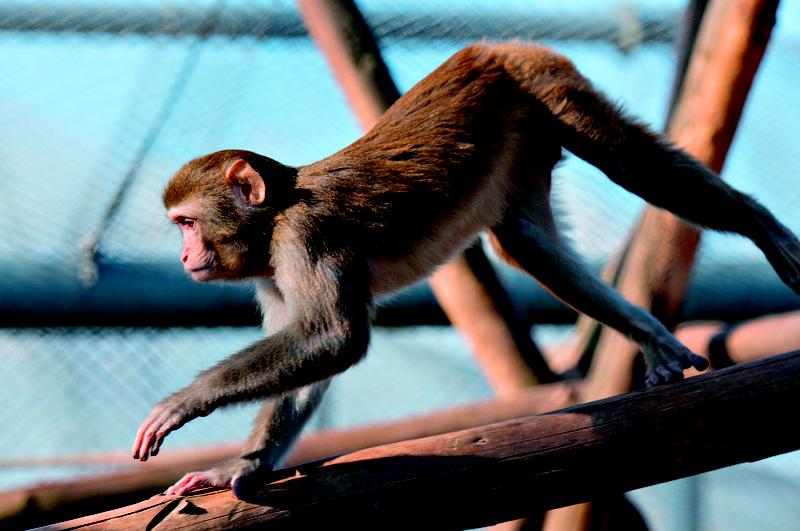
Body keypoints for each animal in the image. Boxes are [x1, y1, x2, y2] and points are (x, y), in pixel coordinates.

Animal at [131, 42, 800, 498]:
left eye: (186, 223)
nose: (185, 256)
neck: (272, 221)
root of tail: (490, 48)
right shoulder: (272, 274)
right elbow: (313, 350)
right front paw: (243, 464)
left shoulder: (305, 238)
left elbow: (334, 337)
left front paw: (186, 402)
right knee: (527, 241)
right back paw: (649, 334)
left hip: (541, 81)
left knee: (625, 158)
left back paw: (759, 223)